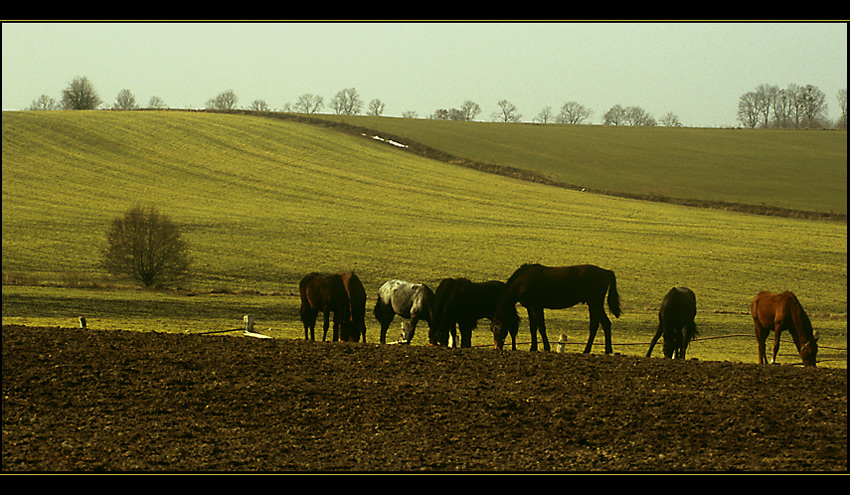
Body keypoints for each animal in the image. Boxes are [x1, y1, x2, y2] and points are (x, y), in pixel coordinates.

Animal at [486, 264, 620, 352]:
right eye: (491, 330)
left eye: (497, 329)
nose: (496, 347)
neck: (523, 281)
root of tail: (605, 272)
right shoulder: (530, 307)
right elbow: (533, 327)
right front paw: (533, 348)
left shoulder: (537, 306)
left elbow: (541, 326)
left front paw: (546, 347)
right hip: (594, 304)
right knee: (604, 324)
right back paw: (607, 350)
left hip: (594, 303)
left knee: (597, 325)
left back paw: (588, 350)